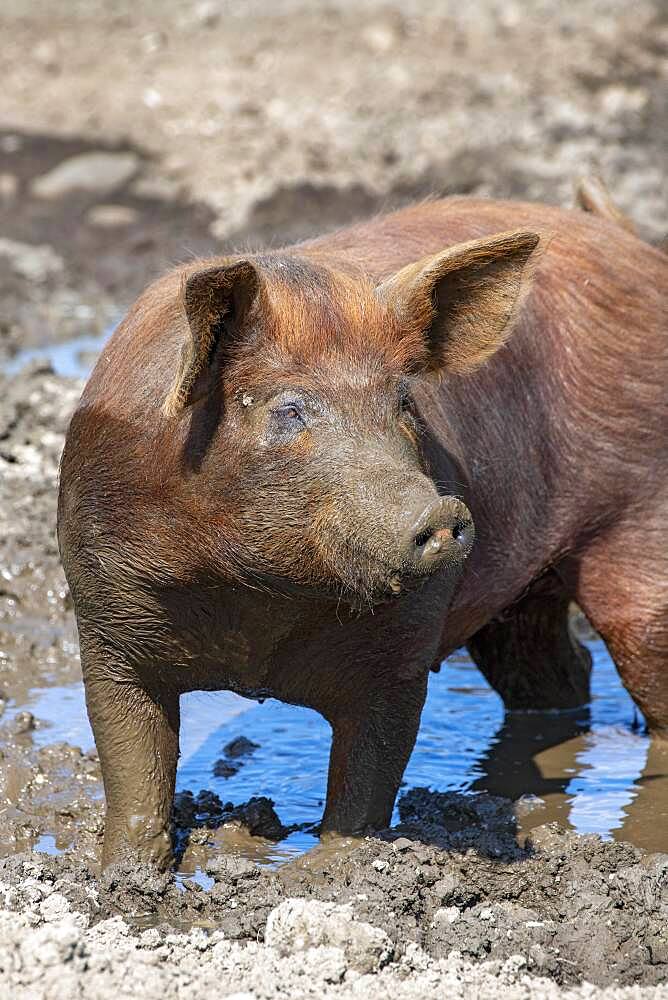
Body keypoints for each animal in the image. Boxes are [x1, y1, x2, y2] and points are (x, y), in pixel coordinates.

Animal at [58, 195, 668, 868]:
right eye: (287, 409)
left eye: (403, 402)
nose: (442, 512)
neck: (255, 604)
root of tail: (633, 247)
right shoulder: (105, 621)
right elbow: (132, 764)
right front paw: (125, 871)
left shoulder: (403, 649)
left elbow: (369, 776)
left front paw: (326, 869)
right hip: (521, 598)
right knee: (559, 667)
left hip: (643, 528)